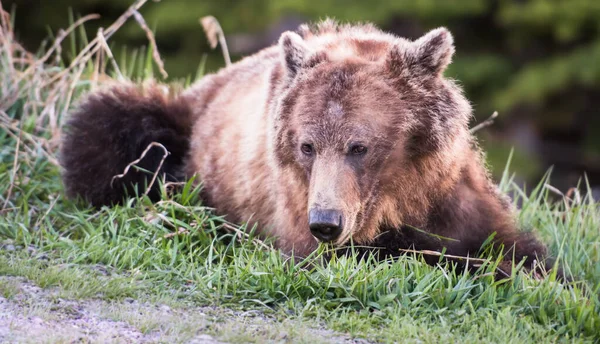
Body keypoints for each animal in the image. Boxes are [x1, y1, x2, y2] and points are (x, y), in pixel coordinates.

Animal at [61, 20, 556, 274]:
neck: (397, 198)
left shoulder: (451, 193)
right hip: (174, 129)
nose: (326, 223)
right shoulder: (296, 203)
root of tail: (208, 84)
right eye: (307, 146)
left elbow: (508, 247)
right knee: (110, 130)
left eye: (359, 146)